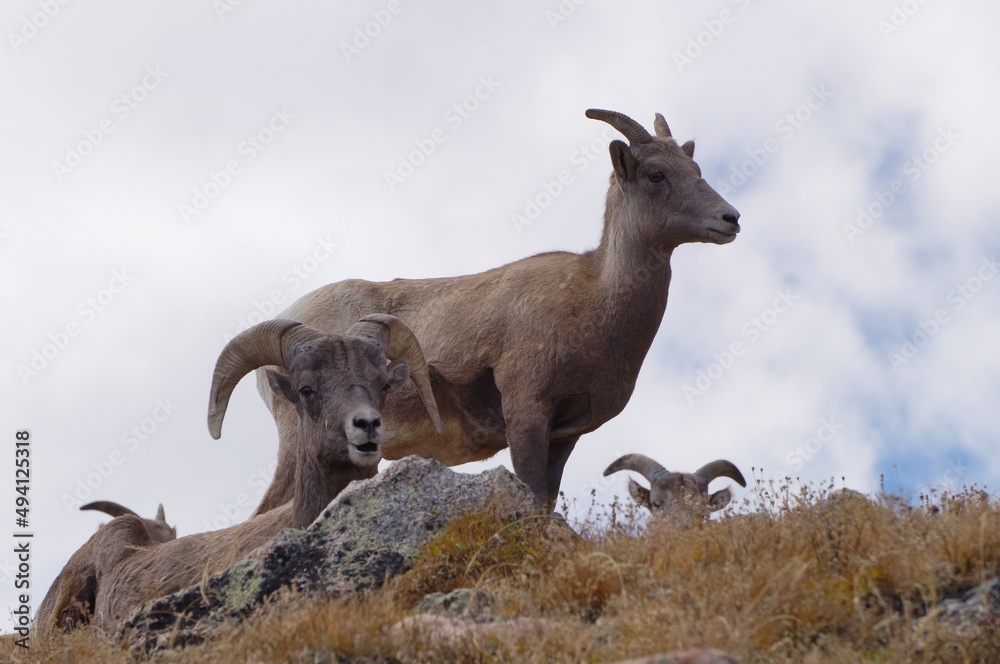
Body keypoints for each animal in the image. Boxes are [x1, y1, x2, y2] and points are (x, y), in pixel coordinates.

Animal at [251, 108, 742, 513]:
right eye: (656, 174)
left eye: (695, 169)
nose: (730, 218)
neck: (595, 303)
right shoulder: (526, 412)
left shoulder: (566, 435)